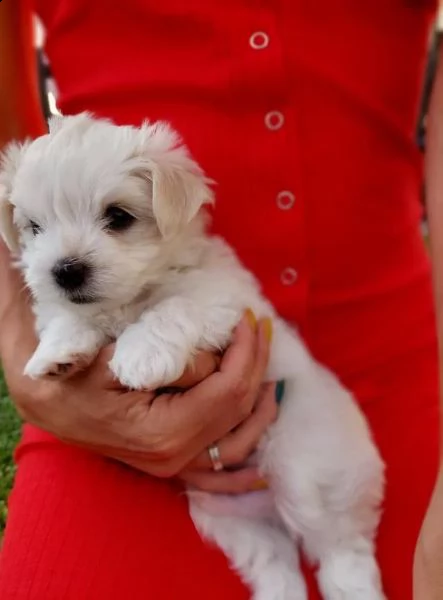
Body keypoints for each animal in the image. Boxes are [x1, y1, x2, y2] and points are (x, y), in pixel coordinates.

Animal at [0, 113, 386, 600]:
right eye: (34, 227)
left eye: (118, 217)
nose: (65, 271)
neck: (132, 297)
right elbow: (68, 316)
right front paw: (55, 354)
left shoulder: (225, 303)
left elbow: (175, 308)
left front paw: (139, 355)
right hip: (227, 515)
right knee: (275, 563)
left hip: (312, 476)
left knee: (340, 546)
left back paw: (351, 583)